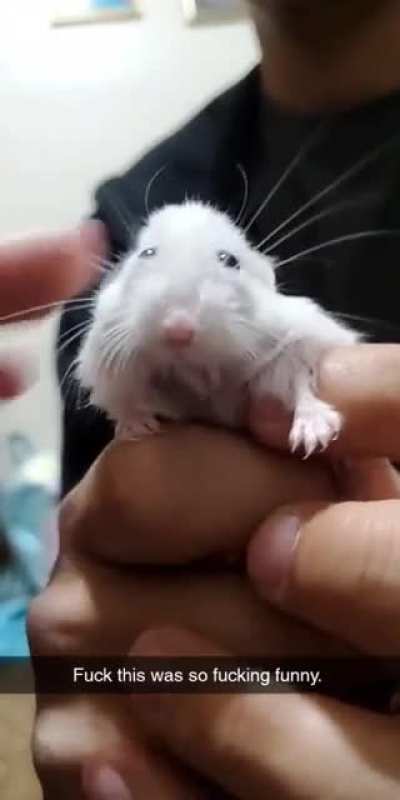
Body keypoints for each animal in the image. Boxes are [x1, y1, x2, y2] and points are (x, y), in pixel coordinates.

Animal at [77, 201, 358, 457]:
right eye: (147, 253)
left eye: (230, 260)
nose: (178, 331)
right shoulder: (106, 357)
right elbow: (122, 399)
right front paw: (137, 429)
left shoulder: (299, 337)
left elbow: (299, 382)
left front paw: (314, 438)